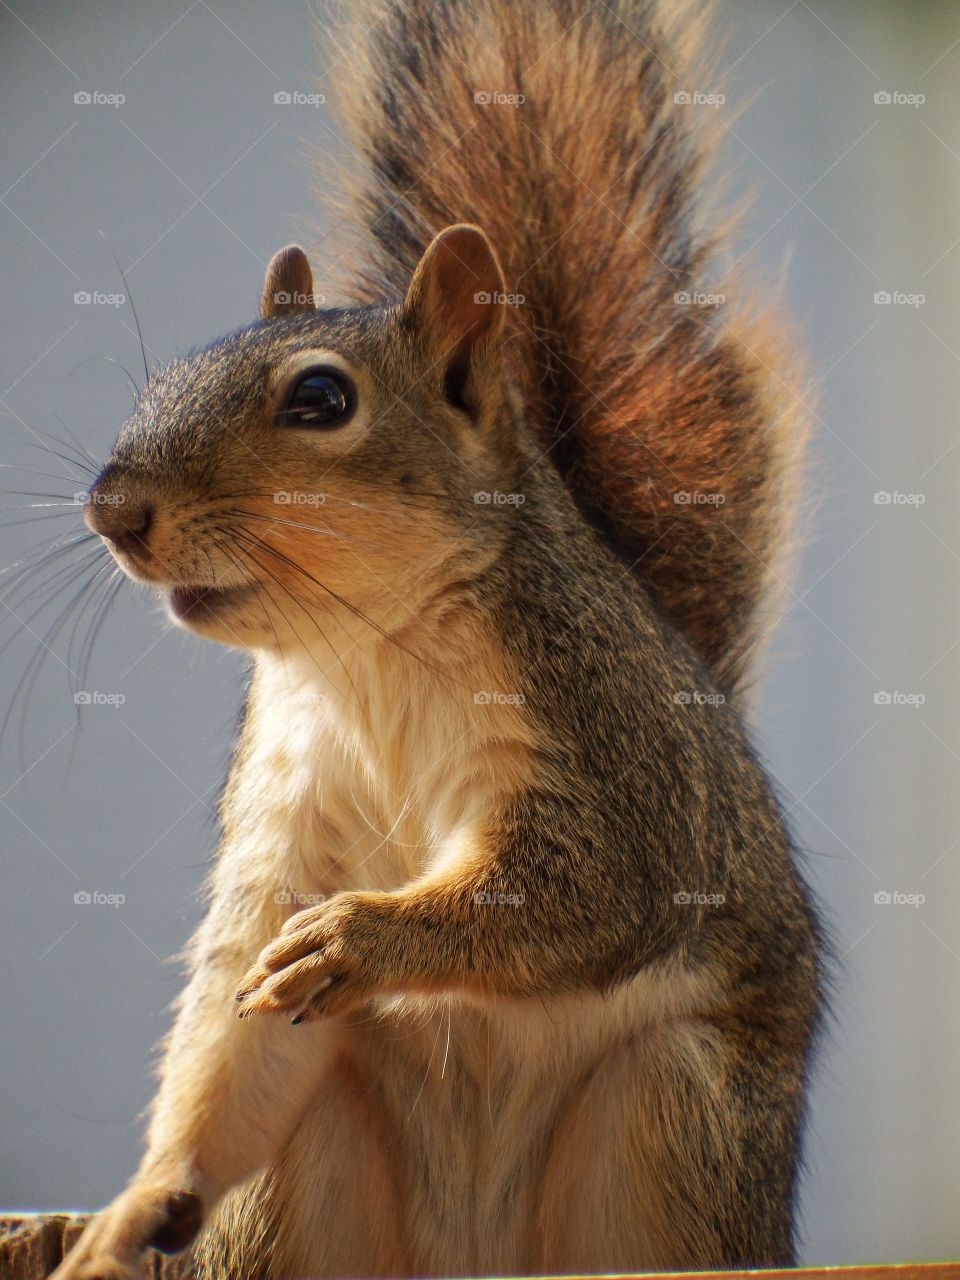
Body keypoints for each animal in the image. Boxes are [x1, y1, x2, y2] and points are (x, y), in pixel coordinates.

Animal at [53, 0, 822, 1276]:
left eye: (320, 400)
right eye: (162, 379)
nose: (113, 510)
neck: (364, 649)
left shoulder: (605, 737)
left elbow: (587, 886)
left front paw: (363, 938)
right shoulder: (284, 809)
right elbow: (238, 1038)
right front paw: (132, 1207)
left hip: (672, 1116)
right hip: (307, 1169)